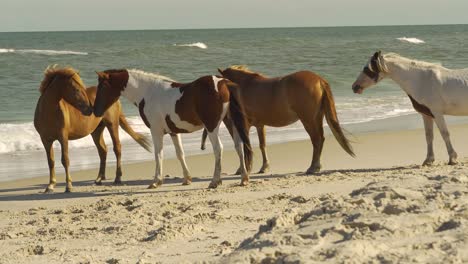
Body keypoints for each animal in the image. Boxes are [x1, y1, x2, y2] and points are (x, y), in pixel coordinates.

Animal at [92, 69, 252, 189]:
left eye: (102, 86)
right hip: (231, 123)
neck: (148, 92)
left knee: (219, 149)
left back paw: (215, 181)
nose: (96, 111)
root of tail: (224, 82)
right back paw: (244, 179)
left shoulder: (156, 131)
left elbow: (158, 154)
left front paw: (156, 181)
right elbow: (180, 154)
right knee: (239, 146)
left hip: (212, 126)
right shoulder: (173, 132)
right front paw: (187, 179)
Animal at [201, 65, 354, 173]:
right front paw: (264, 167)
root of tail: (319, 79)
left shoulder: (246, 125)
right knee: (320, 139)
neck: (243, 87)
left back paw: (312, 167)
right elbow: (262, 145)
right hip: (317, 118)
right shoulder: (260, 125)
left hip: (308, 120)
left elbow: (246, 146)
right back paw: (316, 166)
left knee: (316, 140)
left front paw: (244, 168)